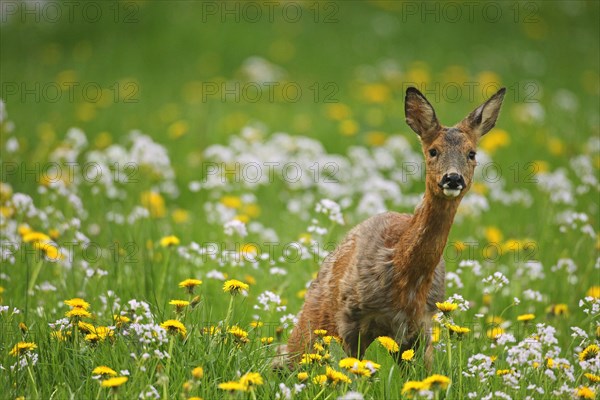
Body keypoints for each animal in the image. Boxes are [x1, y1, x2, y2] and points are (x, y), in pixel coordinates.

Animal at [286, 86, 506, 366]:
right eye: (433, 151)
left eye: (472, 153)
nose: (453, 178)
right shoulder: (350, 319)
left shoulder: (420, 325)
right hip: (317, 316)